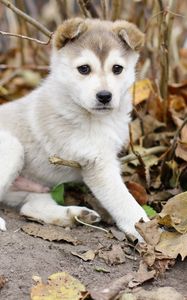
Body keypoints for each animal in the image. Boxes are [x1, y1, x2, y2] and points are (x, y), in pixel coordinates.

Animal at [0, 18, 149, 239]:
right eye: (84, 69)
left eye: (117, 68)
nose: (104, 96)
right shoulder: (97, 163)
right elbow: (123, 200)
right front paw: (143, 227)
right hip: (12, 147)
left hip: (31, 189)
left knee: (31, 207)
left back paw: (75, 215)